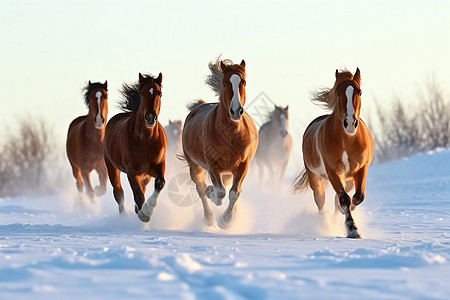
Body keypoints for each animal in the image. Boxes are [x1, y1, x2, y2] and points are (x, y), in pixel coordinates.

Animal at [103, 73, 167, 223]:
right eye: (142, 94)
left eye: (160, 94)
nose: (150, 118)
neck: (145, 141)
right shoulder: (132, 171)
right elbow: (138, 194)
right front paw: (144, 214)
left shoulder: (158, 166)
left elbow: (159, 183)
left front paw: (145, 210)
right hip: (112, 168)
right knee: (119, 193)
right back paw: (124, 217)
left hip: (145, 175)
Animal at [180, 58, 256, 227]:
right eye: (224, 83)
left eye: (244, 83)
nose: (236, 111)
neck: (231, 135)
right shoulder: (212, 165)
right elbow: (220, 192)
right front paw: (213, 195)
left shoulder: (243, 166)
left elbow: (234, 193)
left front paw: (226, 220)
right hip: (195, 166)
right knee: (200, 188)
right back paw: (208, 216)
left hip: (228, 171)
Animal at [292, 68, 372, 239]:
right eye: (338, 93)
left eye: (359, 92)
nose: (350, 123)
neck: (347, 141)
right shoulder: (333, 171)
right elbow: (344, 199)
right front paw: (353, 230)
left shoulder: (361, 169)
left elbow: (357, 197)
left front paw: (349, 221)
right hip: (315, 177)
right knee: (320, 200)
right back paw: (325, 226)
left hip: (348, 179)